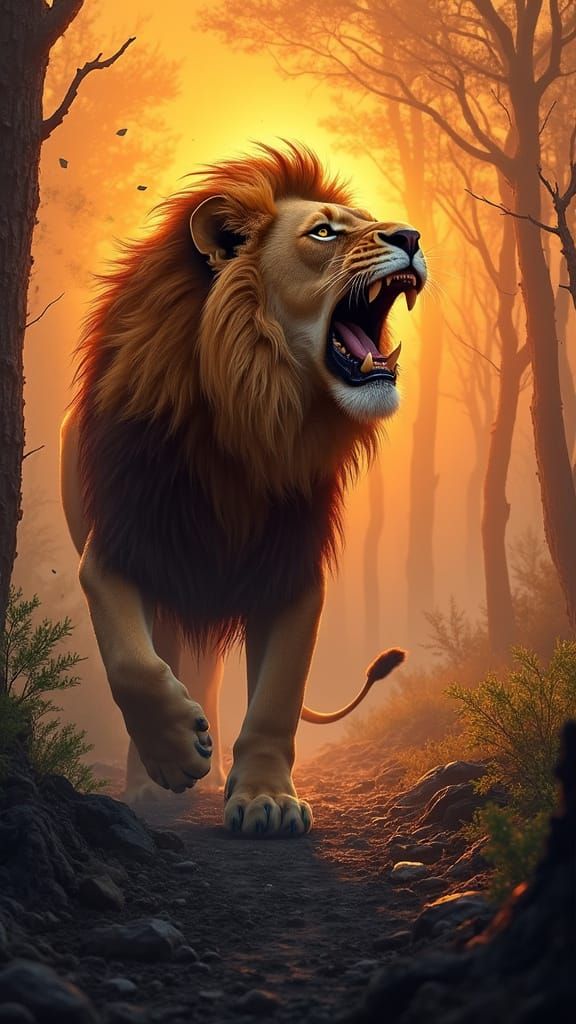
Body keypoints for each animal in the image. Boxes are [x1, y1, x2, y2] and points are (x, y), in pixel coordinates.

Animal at [60, 143, 426, 835]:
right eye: (324, 232)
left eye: (371, 222)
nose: (413, 237)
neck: (255, 412)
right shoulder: (122, 543)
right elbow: (131, 662)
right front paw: (175, 754)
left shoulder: (291, 569)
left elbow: (278, 697)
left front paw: (264, 799)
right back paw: (161, 776)